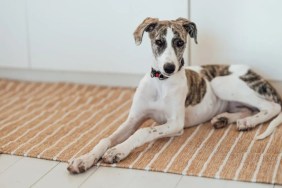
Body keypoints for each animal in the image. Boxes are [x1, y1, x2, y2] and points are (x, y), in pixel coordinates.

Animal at [66, 17, 282, 173]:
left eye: (179, 42)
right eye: (159, 42)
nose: (169, 68)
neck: (160, 83)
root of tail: (258, 75)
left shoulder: (175, 124)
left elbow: (144, 131)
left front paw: (118, 151)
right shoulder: (133, 119)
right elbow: (106, 139)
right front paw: (83, 159)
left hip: (221, 83)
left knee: (271, 107)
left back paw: (249, 122)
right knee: (248, 109)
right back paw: (226, 119)